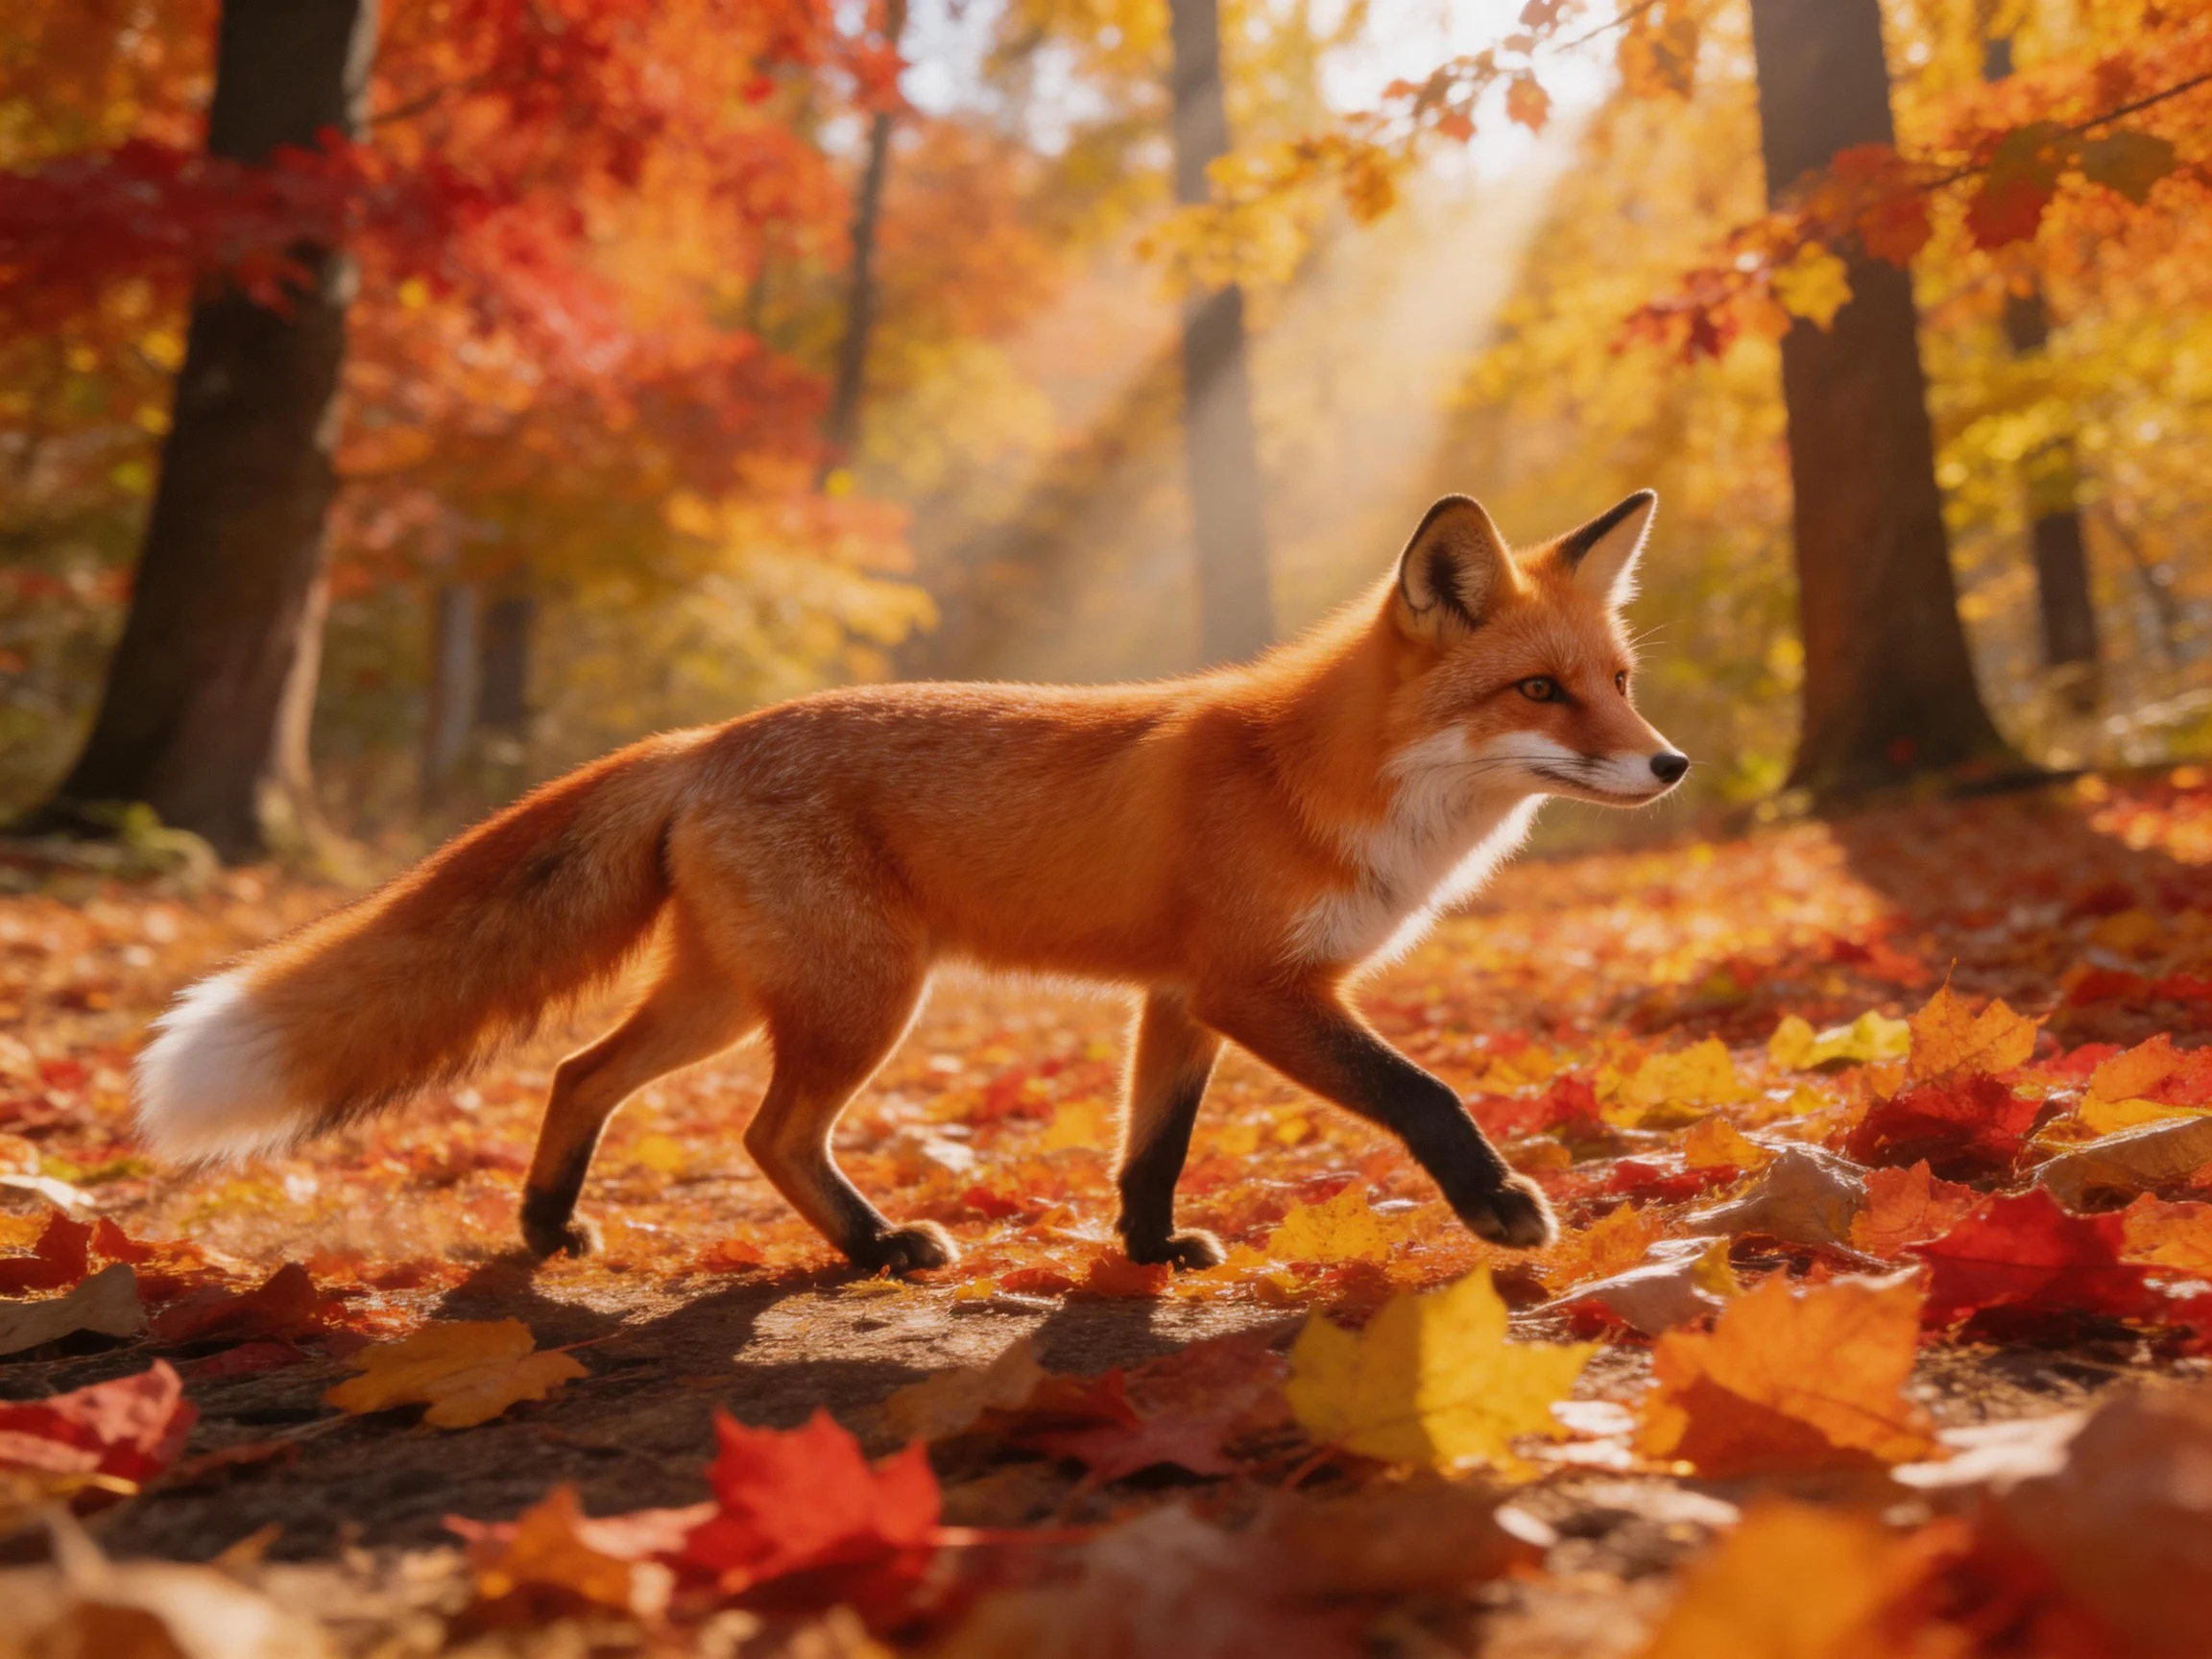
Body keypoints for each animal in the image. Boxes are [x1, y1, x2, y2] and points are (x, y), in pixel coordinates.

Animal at [133, 490, 1687, 1274]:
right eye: (1541, 692)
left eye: (1619, 681)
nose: (1670, 763)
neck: (1325, 779)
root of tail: (708, 741)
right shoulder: (1260, 988)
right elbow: (1425, 1094)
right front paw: (1501, 1208)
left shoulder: (1180, 1001)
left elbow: (1152, 1151)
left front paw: (1145, 1254)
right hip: (862, 1002)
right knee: (767, 1135)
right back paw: (877, 1248)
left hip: (732, 998)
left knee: (578, 1073)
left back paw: (548, 1225)